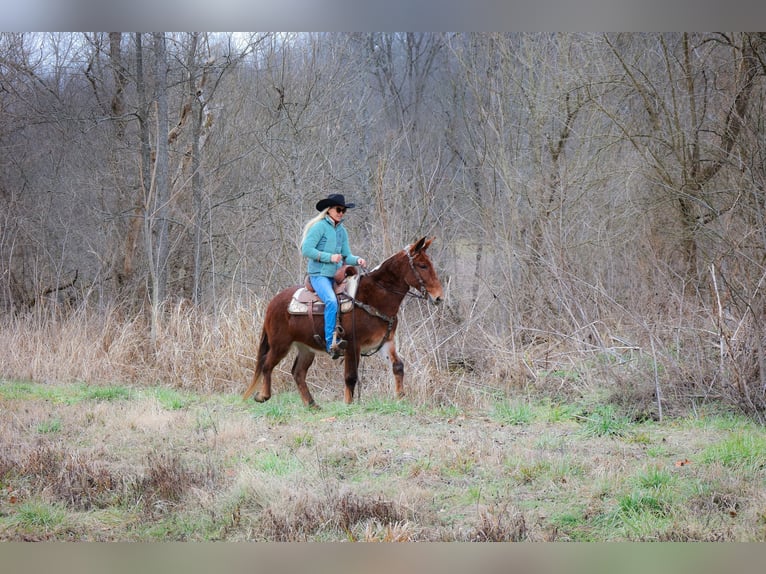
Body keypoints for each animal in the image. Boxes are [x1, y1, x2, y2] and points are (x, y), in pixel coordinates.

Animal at [243, 238, 448, 410]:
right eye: (422, 265)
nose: (439, 297)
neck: (373, 298)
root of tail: (273, 302)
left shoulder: (386, 341)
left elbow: (397, 366)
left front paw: (400, 398)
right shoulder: (352, 345)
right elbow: (351, 376)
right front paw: (348, 404)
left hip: (306, 348)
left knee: (298, 373)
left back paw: (312, 405)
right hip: (280, 344)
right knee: (267, 364)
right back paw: (263, 396)